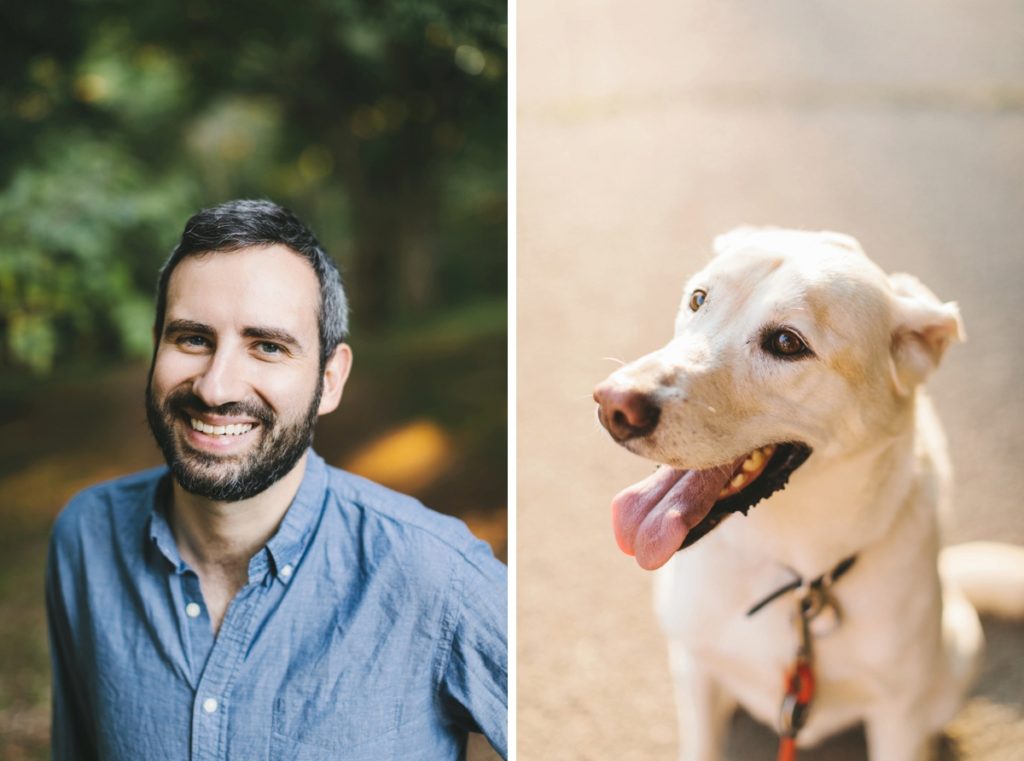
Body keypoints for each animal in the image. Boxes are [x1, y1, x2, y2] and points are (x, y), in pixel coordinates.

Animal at [593, 229, 1024, 761]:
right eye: (698, 299)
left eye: (786, 343)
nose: (614, 404)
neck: (797, 573)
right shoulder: (695, 674)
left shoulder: (897, 716)